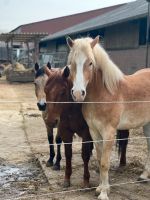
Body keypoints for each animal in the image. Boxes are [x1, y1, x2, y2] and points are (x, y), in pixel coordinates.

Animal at [67, 36, 150, 200]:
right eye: (71, 63)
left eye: (90, 63)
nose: (78, 93)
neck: (104, 95)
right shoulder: (94, 132)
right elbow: (100, 161)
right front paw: (100, 188)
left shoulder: (109, 132)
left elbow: (105, 163)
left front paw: (104, 193)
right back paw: (144, 176)